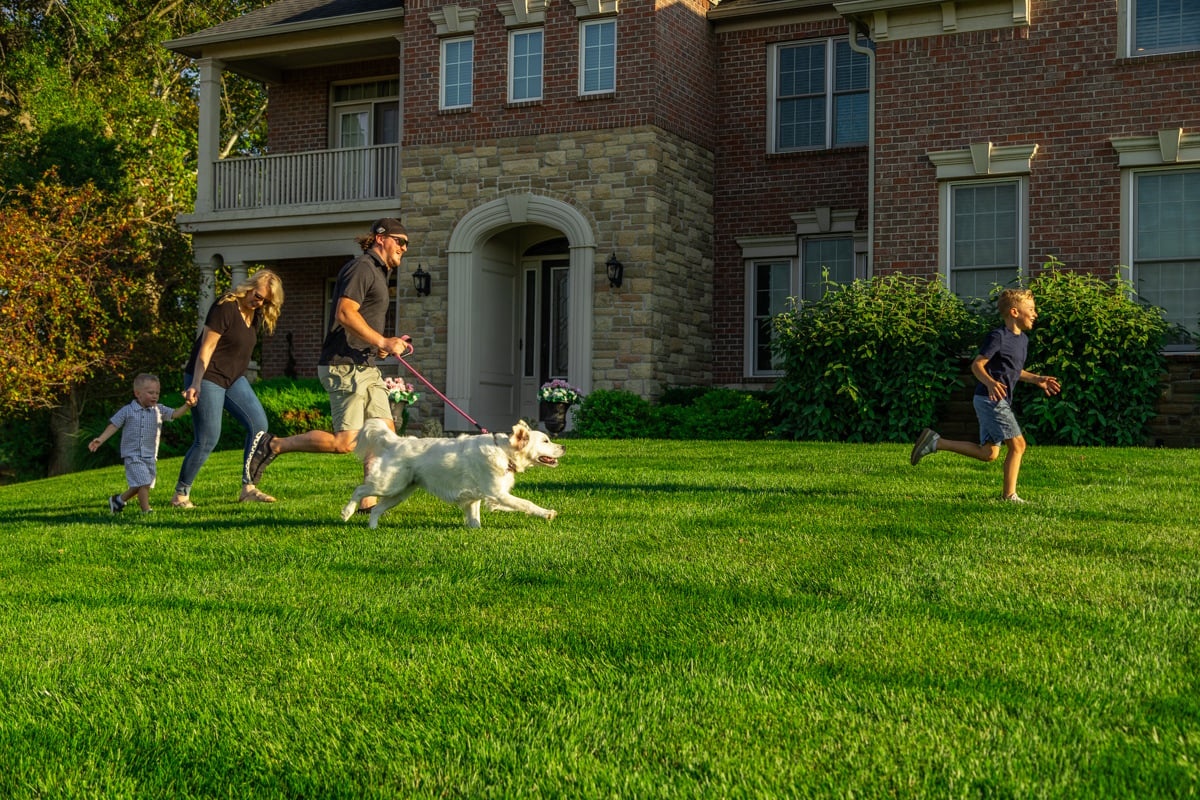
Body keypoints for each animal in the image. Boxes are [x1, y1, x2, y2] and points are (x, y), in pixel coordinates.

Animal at [343, 419, 566, 532]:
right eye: (545, 441)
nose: (564, 447)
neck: (503, 452)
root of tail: (396, 441)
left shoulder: (482, 498)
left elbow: (475, 518)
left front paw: (476, 531)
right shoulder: (498, 494)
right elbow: (527, 503)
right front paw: (547, 513)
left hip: (399, 492)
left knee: (376, 509)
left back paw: (372, 528)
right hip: (388, 484)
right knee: (360, 489)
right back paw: (346, 512)